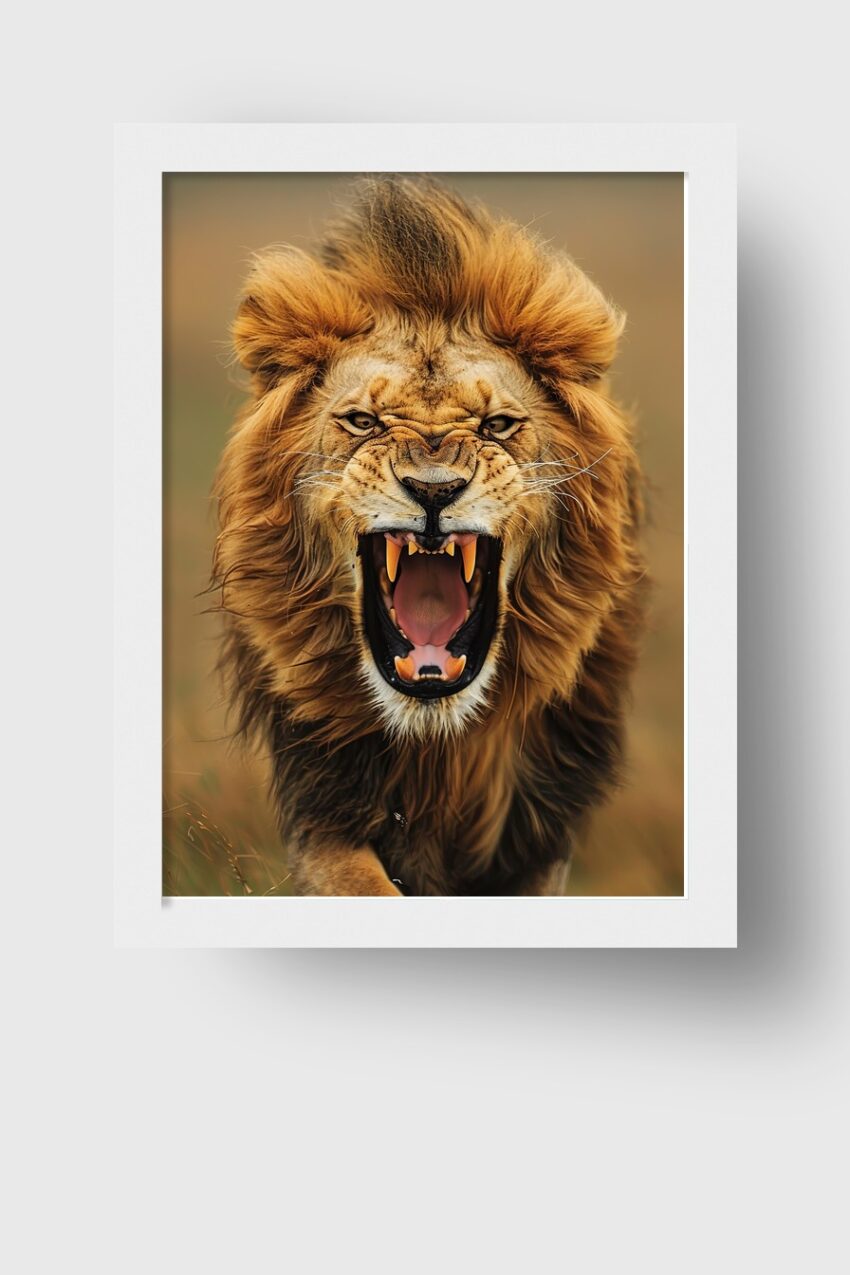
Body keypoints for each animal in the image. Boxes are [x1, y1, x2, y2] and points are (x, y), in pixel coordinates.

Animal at [212, 176, 645, 896]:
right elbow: (360, 886)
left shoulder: (536, 838)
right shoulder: (324, 810)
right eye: (363, 421)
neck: (440, 750)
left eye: (498, 425)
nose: (435, 489)